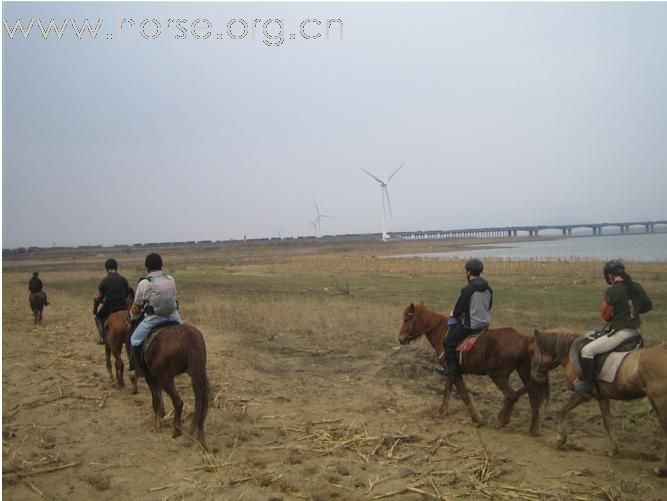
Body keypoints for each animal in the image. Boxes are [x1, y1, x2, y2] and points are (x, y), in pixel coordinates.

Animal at [142, 322, 211, 452]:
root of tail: (190, 336)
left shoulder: (150, 376)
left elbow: (155, 399)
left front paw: (157, 425)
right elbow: (159, 397)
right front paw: (162, 414)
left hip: (166, 379)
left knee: (178, 402)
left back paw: (177, 431)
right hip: (197, 373)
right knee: (201, 402)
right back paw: (200, 438)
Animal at [396, 302, 548, 436]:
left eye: (407, 319)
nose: (401, 339)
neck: (442, 332)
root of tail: (525, 340)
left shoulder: (453, 372)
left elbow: (458, 393)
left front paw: (471, 417)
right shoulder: (454, 372)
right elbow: (455, 392)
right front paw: (465, 415)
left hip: (498, 375)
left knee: (511, 394)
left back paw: (502, 420)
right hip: (523, 372)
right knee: (533, 395)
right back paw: (533, 429)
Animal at [532, 328, 667, 476]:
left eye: (533, 351)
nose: (535, 375)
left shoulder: (582, 393)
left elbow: (563, 409)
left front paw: (561, 438)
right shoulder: (602, 397)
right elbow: (608, 422)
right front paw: (614, 450)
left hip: (659, 403)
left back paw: (661, 469)